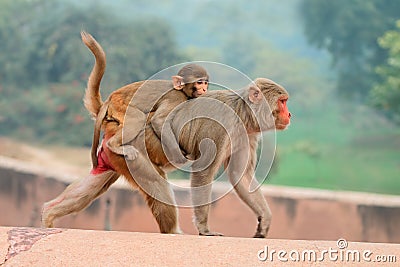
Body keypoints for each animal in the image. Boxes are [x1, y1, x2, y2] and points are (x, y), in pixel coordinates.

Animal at [80, 31, 208, 169]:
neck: (181, 90)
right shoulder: (176, 98)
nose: (204, 89)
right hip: (120, 106)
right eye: (199, 82)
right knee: (138, 118)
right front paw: (178, 155)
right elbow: (158, 121)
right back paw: (113, 145)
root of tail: (110, 98)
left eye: (206, 82)